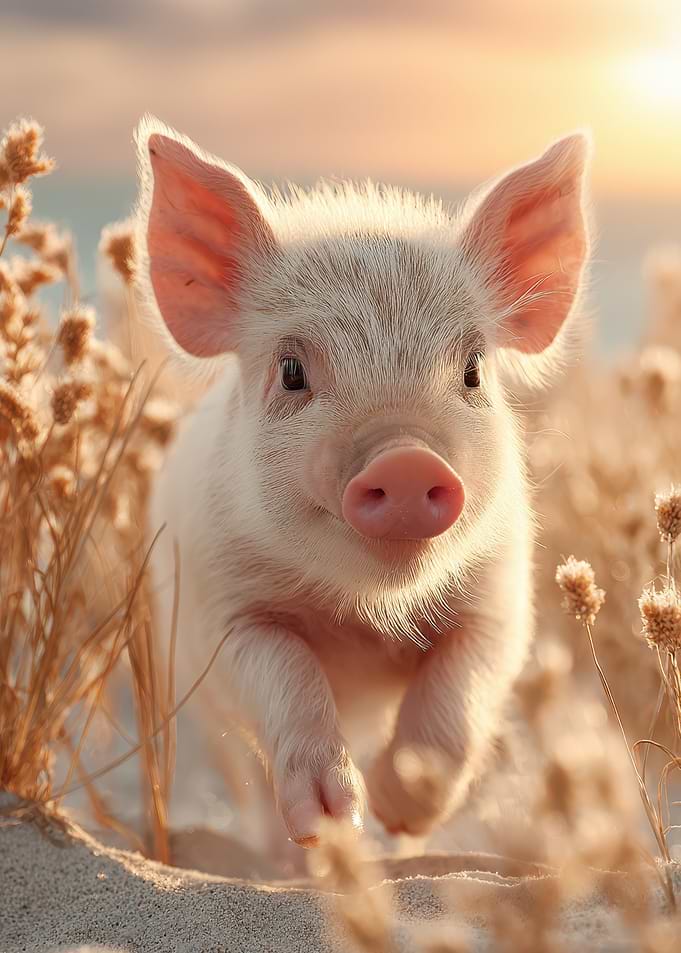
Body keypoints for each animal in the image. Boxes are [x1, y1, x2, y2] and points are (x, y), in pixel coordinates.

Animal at [135, 116, 591, 852]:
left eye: (472, 368)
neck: (363, 618)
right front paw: (332, 821)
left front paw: (397, 803)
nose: (405, 460)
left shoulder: (502, 597)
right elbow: (285, 673)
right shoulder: (219, 612)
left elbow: (459, 690)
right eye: (291, 370)